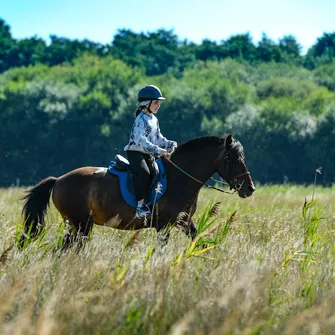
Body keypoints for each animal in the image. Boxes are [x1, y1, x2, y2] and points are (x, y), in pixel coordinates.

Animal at [19, 135, 255, 249]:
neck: (180, 178)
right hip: (79, 224)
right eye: (233, 159)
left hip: (80, 226)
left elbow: (201, 242)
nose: (250, 189)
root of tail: (58, 180)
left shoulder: (184, 222)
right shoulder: (164, 226)